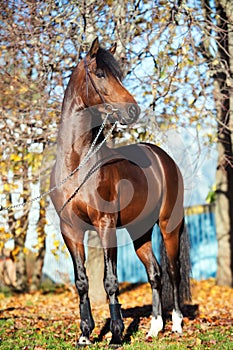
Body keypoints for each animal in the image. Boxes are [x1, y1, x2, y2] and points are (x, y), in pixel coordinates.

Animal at [50, 37, 190, 344]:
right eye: (101, 74)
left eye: (120, 74)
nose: (133, 110)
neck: (77, 165)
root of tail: (164, 158)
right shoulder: (71, 229)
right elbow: (82, 281)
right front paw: (85, 334)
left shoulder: (106, 225)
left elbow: (110, 281)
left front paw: (116, 334)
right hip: (140, 232)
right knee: (155, 273)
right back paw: (154, 327)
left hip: (169, 227)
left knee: (173, 272)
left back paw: (176, 324)